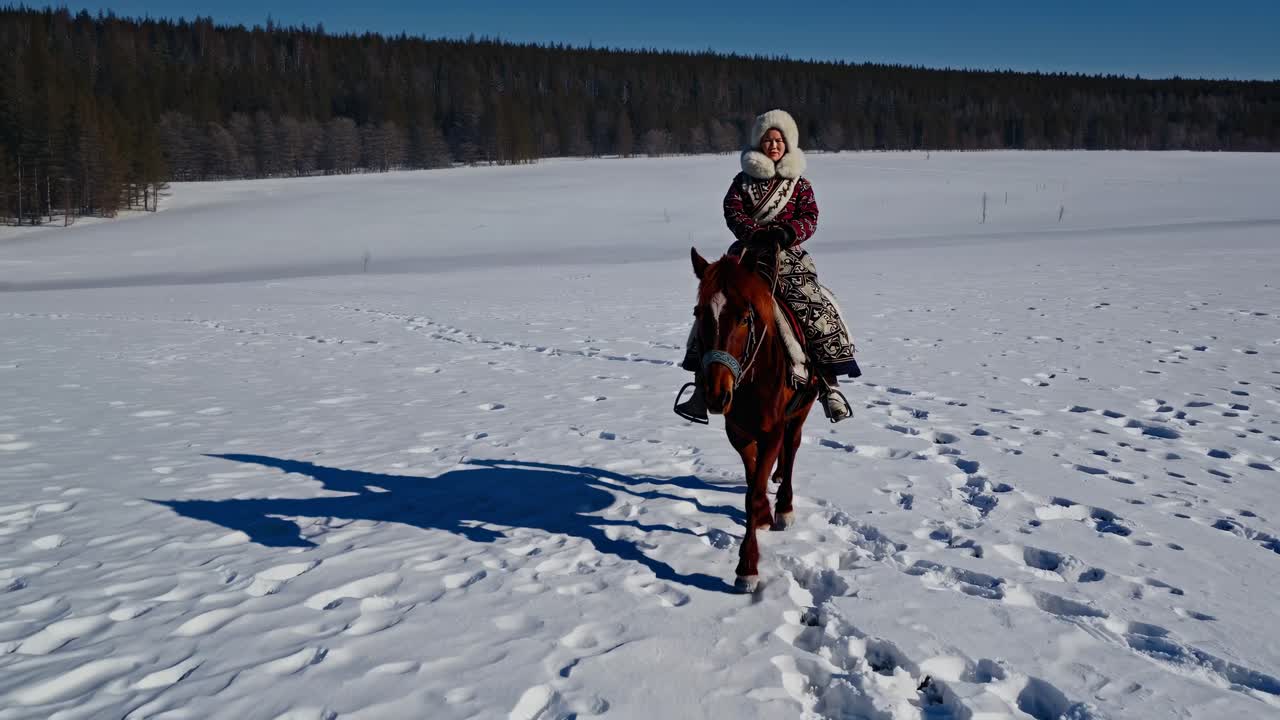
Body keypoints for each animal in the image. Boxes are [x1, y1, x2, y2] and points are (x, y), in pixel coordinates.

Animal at [689, 247, 818, 592]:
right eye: (698, 313)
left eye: (745, 318)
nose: (716, 394)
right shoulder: (738, 431)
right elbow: (752, 480)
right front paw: (761, 515)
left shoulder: (773, 430)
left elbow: (754, 488)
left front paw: (747, 567)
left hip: (801, 411)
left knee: (792, 448)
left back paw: (785, 506)